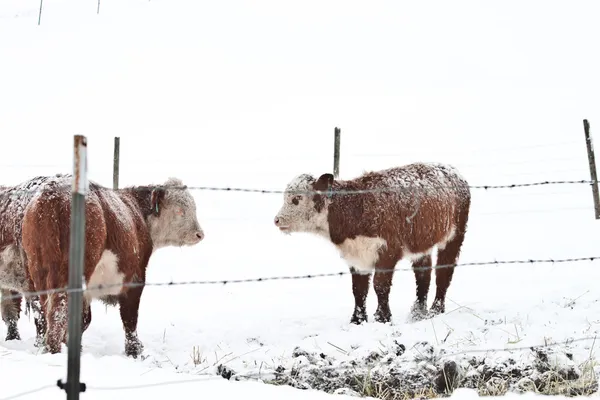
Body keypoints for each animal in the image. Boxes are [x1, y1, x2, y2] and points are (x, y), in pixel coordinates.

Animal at [21, 175, 205, 356]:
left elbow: (84, 321)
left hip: (40, 272)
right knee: (58, 314)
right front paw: (134, 350)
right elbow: (129, 318)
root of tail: (53, 196)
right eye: (179, 210)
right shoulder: (135, 278)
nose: (200, 234)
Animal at [274, 162, 472, 324]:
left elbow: (380, 285)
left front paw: (383, 318)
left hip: (455, 236)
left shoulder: (387, 250)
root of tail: (453, 171)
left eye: (296, 199)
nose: (276, 220)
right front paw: (357, 320)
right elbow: (358, 289)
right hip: (421, 242)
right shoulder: (356, 255)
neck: (355, 207)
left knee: (444, 272)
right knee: (423, 274)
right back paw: (417, 313)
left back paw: (436, 310)